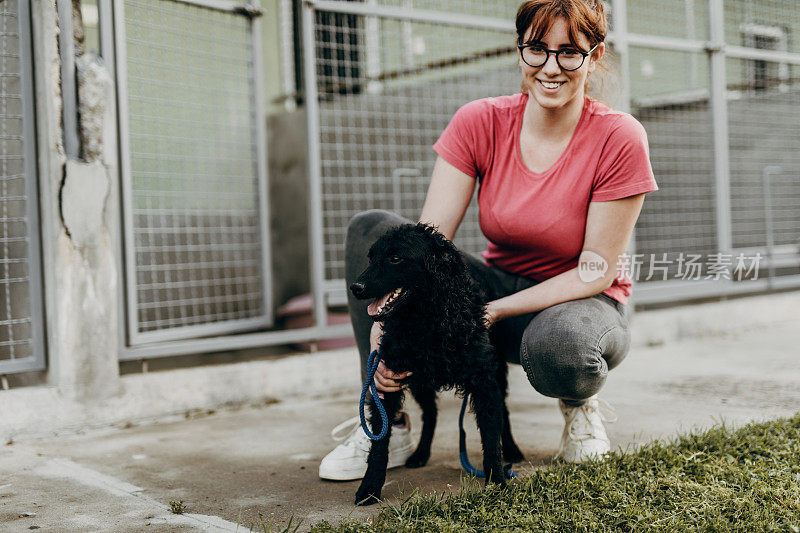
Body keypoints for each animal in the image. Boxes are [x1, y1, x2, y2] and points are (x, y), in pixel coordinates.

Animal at [350, 222, 524, 504]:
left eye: (395, 258)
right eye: (371, 257)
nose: (356, 287)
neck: (427, 321)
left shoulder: (483, 379)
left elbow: (490, 435)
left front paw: (497, 481)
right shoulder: (389, 378)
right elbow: (379, 442)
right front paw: (370, 487)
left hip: (496, 367)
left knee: (503, 410)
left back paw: (512, 449)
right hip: (420, 381)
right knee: (430, 414)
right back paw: (421, 454)